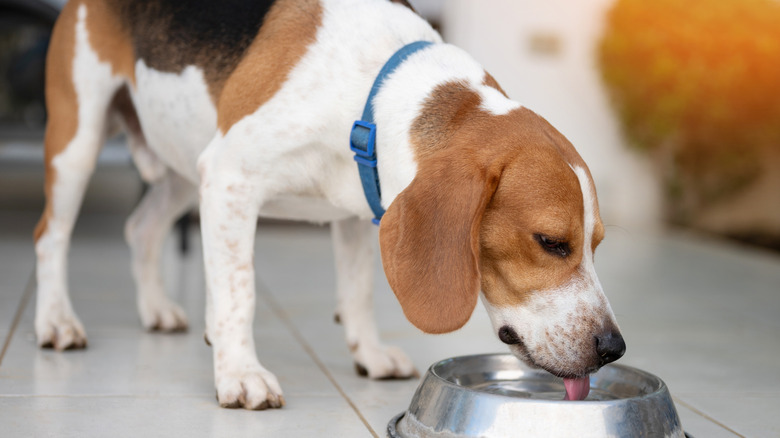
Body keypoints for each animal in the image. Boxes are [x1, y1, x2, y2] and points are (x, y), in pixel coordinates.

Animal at [35, 0, 628, 410]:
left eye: (597, 245)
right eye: (550, 243)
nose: (613, 348)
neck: (373, 91)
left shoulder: (363, 206)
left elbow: (359, 291)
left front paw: (368, 353)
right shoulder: (230, 178)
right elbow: (238, 292)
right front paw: (240, 373)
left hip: (187, 159)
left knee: (142, 227)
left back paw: (156, 308)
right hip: (80, 142)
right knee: (51, 235)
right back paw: (56, 321)